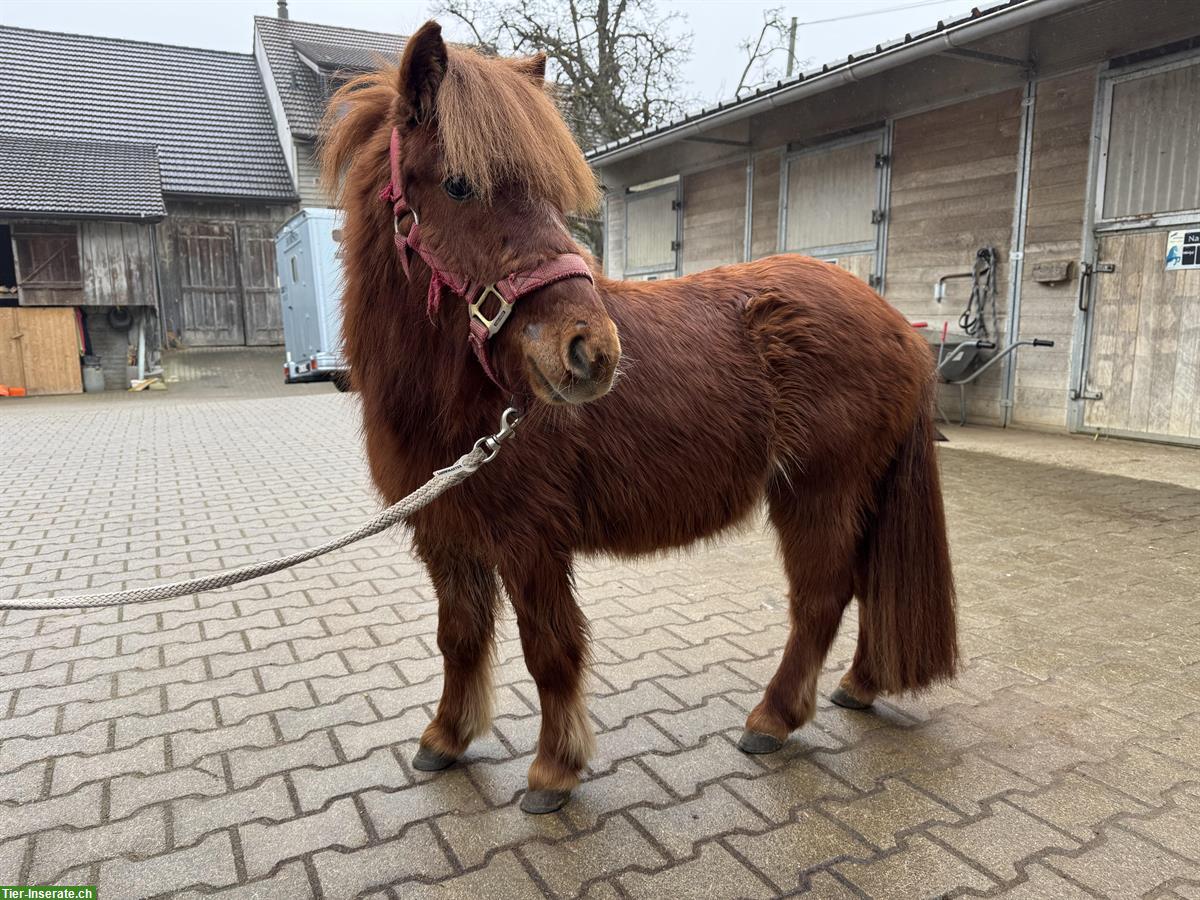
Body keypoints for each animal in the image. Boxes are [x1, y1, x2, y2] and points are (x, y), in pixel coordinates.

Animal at [321, 21, 955, 816]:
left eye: (553, 196)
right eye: (459, 184)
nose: (591, 351)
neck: (461, 396)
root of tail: (896, 325)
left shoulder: (530, 541)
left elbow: (549, 650)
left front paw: (554, 770)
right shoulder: (446, 536)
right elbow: (459, 637)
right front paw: (446, 738)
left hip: (818, 494)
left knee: (820, 600)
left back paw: (771, 720)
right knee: (868, 585)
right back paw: (859, 686)